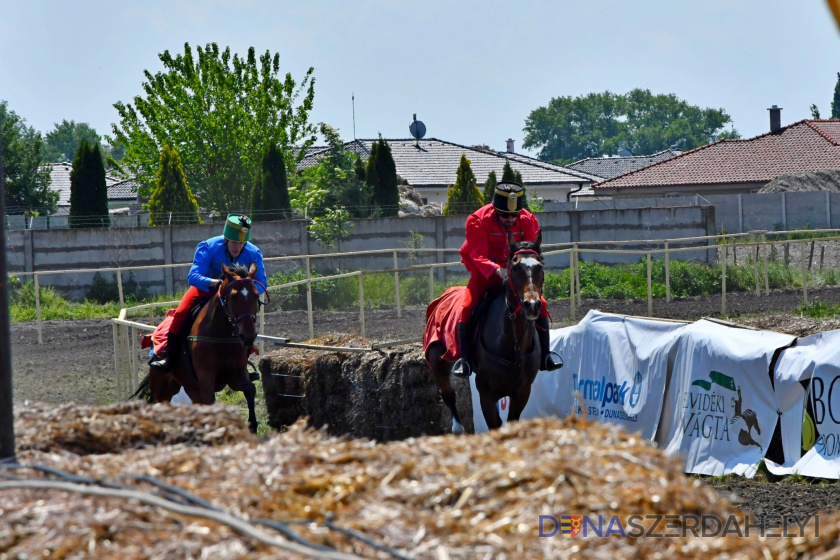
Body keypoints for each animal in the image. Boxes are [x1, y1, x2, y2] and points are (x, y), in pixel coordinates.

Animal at [139, 262, 266, 434]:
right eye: (233, 296)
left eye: (256, 295)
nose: (248, 335)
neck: (221, 336)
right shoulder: (206, 380)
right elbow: (211, 402)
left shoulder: (236, 375)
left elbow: (250, 389)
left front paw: (252, 425)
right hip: (163, 389)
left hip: (191, 389)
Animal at [426, 232, 544, 434]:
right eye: (515, 267)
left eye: (540, 266)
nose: (532, 305)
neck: (513, 342)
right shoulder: (486, 394)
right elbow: (494, 424)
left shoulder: (522, 392)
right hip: (437, 362)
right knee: (449, 395)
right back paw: (458, 428)